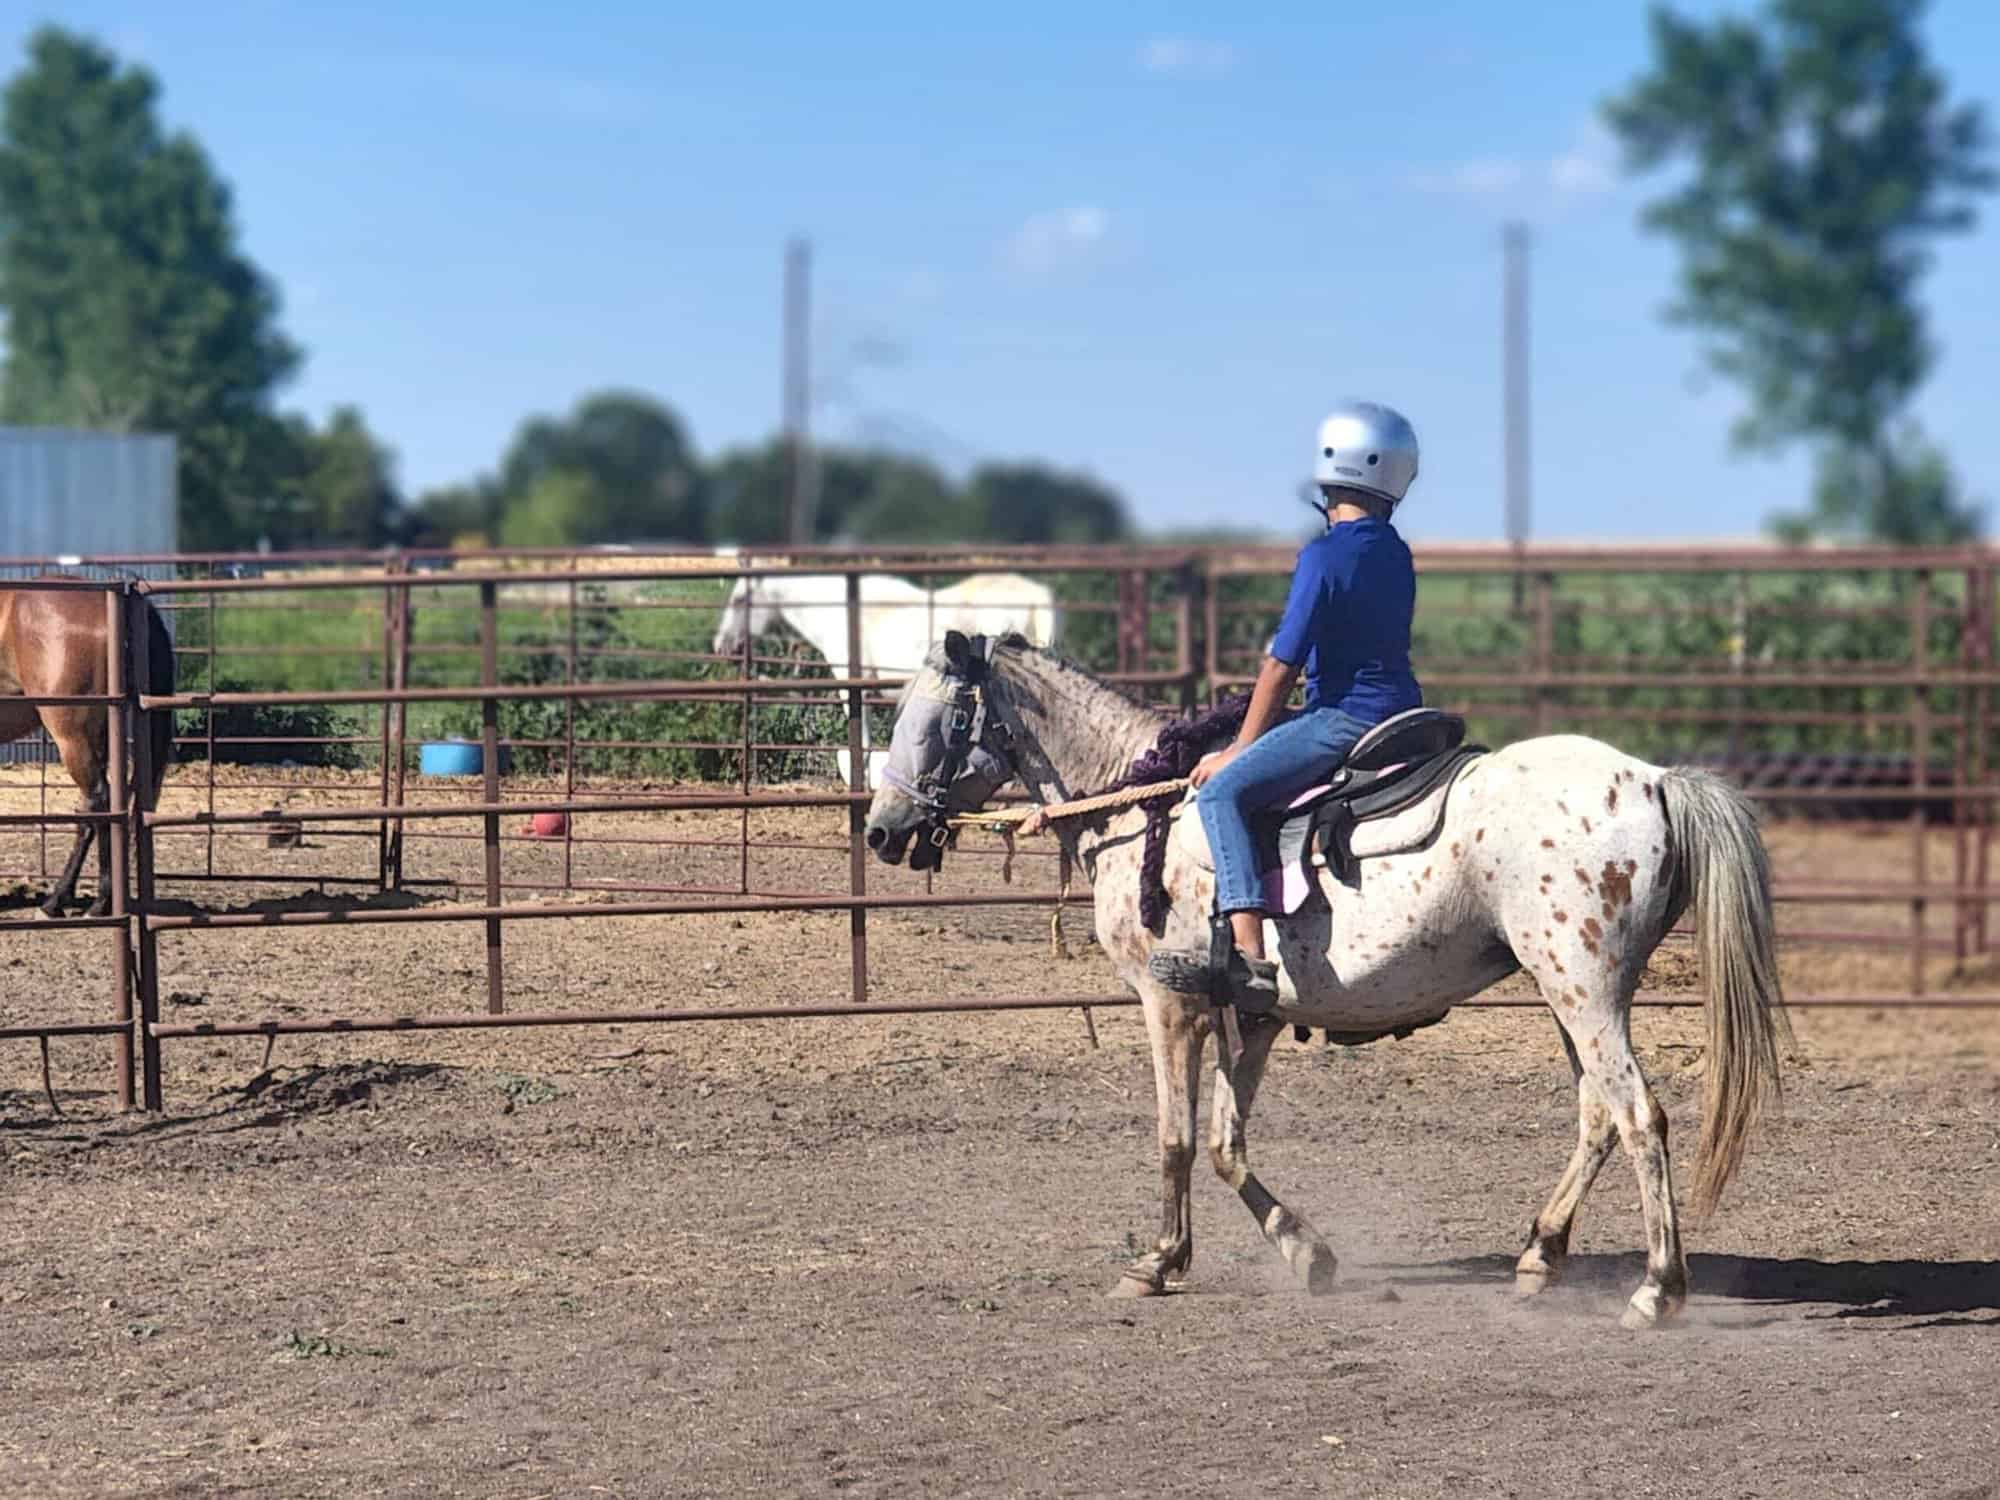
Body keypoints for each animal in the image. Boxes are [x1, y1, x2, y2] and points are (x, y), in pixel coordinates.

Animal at [868, 632, 1792, 1328]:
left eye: (944, 717)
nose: (883, 828)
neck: (1143, 808)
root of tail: (1654, 781)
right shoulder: (1254, 1014)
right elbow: (1226, 1143)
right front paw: (1305, 1252)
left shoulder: (1170, 1002)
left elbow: (1174, 1138)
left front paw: (1158, 1262)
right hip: (1576, 995)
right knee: (1598, 1118)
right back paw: (1540, 1256)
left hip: (1584, 991)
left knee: (1639, 1117)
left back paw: (1656, 1291)